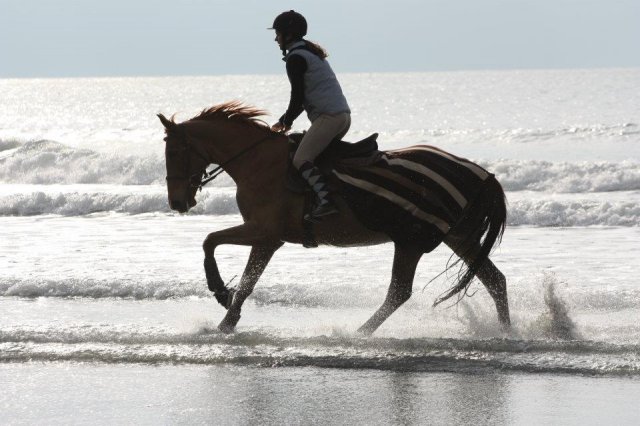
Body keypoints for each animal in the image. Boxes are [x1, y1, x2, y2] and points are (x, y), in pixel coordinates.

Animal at [158, 101, 508, 334]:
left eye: (173, 152)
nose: (177, 202)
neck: (258, 161)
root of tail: (481, 173)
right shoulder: (268, 239)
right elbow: (244, 278)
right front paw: (227, 320)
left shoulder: (263, 232)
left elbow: (212, 245)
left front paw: (220, 293)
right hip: (457, 237)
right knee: (495, 280)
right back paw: (506, 332)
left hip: (411, 241)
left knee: (399, 292)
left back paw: (360, 333)